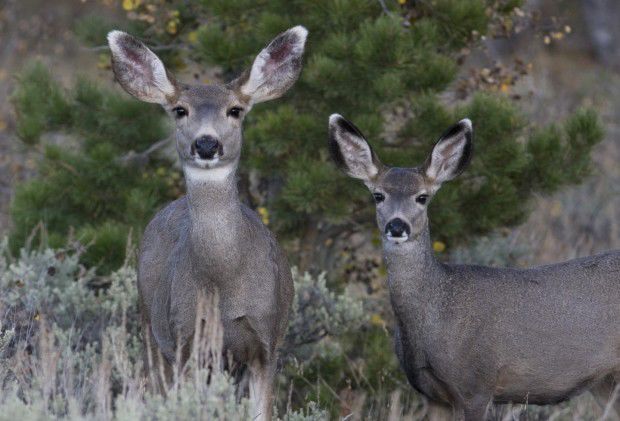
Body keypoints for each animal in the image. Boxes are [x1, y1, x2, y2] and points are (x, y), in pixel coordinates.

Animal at [108, 27, 308, 420]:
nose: (206, 143)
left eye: (235, 110)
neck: (223, 286)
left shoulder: (266, 341)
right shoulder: (185, 339)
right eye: (179, 110)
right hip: (150, 325)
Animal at [326, 113, 616, 418]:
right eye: (378, 195)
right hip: (605, 383)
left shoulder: (476, 385)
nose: (396, 226)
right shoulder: (433, 396)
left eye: (422, 197)